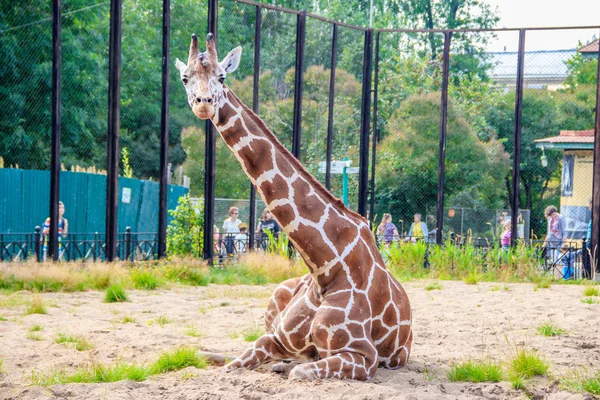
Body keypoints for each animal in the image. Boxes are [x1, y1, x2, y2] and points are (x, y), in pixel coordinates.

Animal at [176, 32, 412, 380]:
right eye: (185, 77)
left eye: (222, 76)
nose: (203, 103)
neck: (325, 267)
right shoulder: (275, 337)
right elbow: (236, 363)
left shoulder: (363, 355)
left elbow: (298, 372)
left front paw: (288, 366)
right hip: (274, 298)